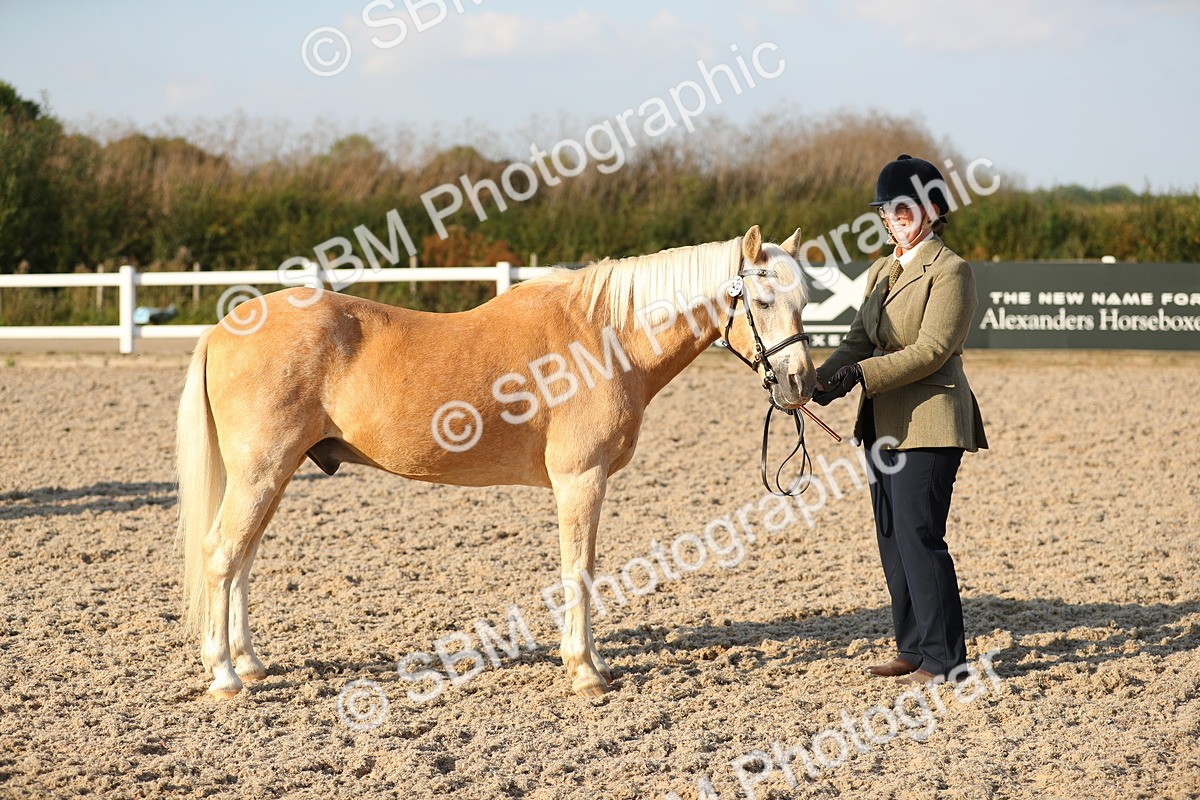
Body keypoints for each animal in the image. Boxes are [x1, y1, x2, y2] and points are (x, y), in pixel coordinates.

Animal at [176, 225, 815, 700]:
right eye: (762, 301)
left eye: (805, 302)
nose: (800, 384)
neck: (603, 337)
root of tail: (223, 328)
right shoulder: (580, 480)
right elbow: (580, 571)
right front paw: (585, 672)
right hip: (262, 473)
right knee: (223, 555)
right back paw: (226, 676)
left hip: (273, 477)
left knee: (242, 561)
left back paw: (250, 663)